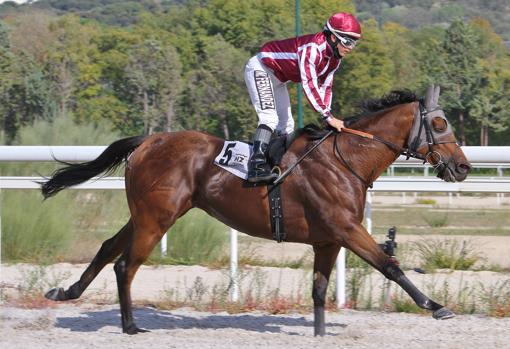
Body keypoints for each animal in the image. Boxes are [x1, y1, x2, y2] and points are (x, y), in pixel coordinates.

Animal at [41, 85, 472, 334]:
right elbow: (390, 265)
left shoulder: (328, 240)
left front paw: (319, 334)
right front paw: (436, 307)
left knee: (108, 248)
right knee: (125, 265)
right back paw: (130, 326)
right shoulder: (347, 229)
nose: (464, 166)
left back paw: (67, 291)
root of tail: (149, 140)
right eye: (439, 124)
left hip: (146, 215)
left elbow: (318, 290)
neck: (345, 159)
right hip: (157, 218)